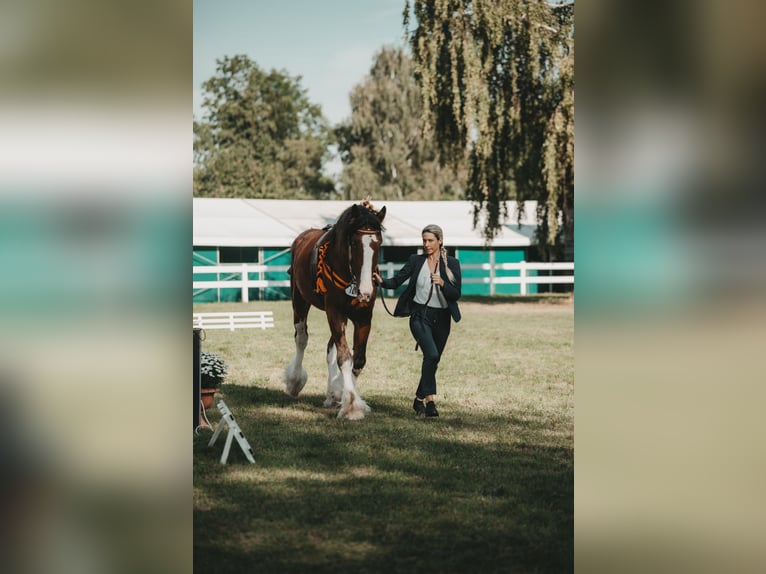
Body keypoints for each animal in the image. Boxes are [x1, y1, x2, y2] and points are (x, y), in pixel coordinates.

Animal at [284, 201, 388, 418]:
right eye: (355, 243)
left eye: (379, 243)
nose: (365, 291)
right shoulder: (335, 312)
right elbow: (345, 358)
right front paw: (351, 406)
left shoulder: (363, 317)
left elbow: (358, 360)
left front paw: (342, 392)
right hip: (299, 300)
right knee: (301, 338)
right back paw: (295, 381)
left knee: (330, 348)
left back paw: (332, 394)